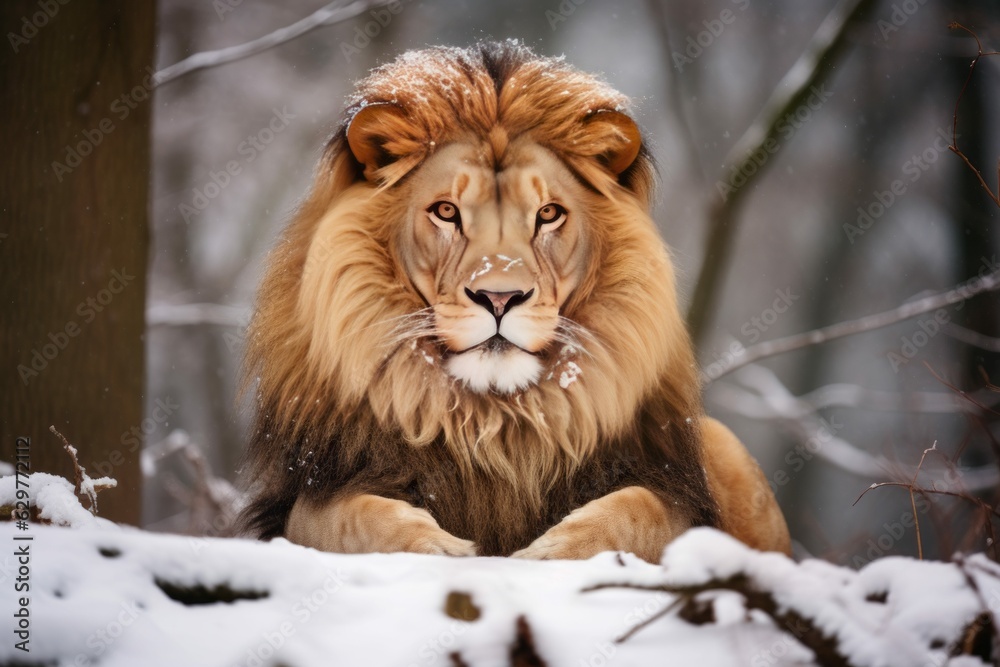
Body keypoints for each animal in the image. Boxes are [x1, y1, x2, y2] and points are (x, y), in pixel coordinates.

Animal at [238, 40, 790, 562]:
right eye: (446, 212)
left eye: (548, 213)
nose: (499, 297)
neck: (497, 421)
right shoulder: (305, 496)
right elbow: (349, 518)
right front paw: (444, 549)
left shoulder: (677, 494)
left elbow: (641, 510)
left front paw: (554, 549)